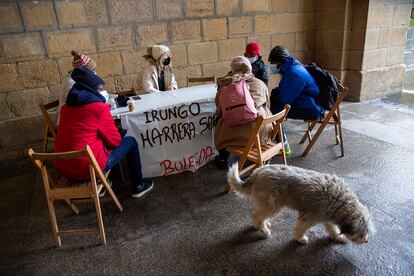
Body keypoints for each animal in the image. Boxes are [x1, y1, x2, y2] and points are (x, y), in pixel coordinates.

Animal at [228, 163, 374, 245]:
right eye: (362, 233)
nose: (366, 241)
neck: (340, 201)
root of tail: (257, 172)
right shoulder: (309, 217)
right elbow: (300, 228)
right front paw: (300, 239)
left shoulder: (328, 217)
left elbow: (332, 228)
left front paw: (338, 237)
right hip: (273, 205)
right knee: (255, 216)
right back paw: (263, 229)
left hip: (268, 204)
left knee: (259, 215)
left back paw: (264, 223)